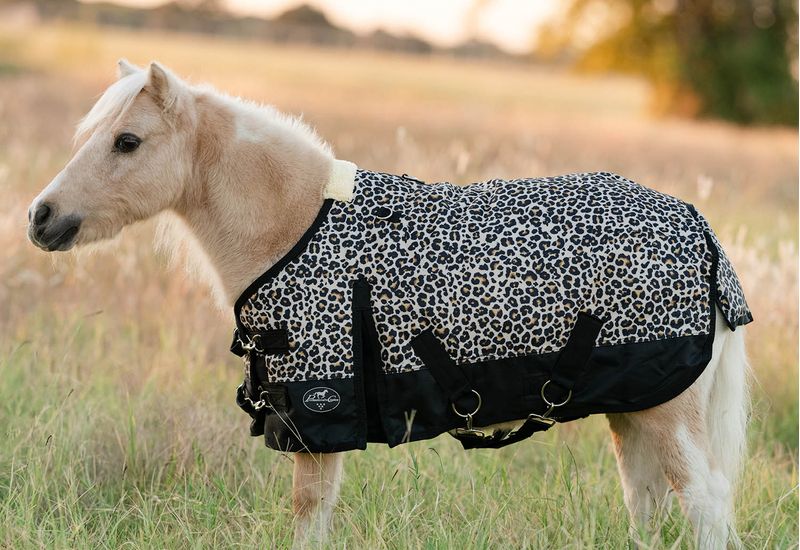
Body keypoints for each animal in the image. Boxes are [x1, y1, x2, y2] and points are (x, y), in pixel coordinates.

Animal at [27, 60, 750, 549]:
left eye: (127, 141)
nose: (41, 218)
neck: (294, 225)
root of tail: (702, 230)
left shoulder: (320, 419)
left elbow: (309, 513)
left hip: (669, 410)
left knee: (704, 501)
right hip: (634, 406)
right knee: (646, 500)